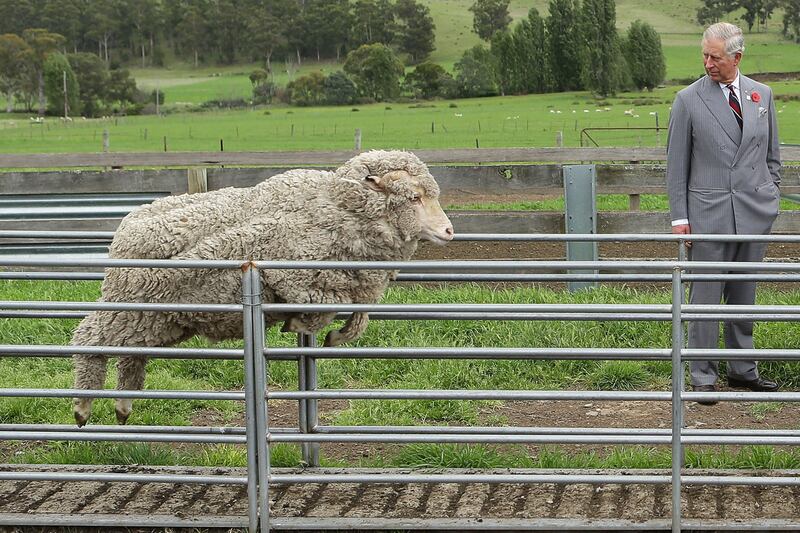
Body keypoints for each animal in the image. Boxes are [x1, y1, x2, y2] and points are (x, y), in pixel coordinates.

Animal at [72, 150, 455, 426]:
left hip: (155, 319)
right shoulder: (295, 277)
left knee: (131, 355)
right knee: (88, 340)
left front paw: (336, 336)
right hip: (127, 308)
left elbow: (359, 318)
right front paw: (299, 324)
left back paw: (123, 407)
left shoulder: (354, 283)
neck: (331, 206)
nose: (450, 231)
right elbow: (324, 310)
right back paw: (83, 408)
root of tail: (125, 227)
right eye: (413, 197)